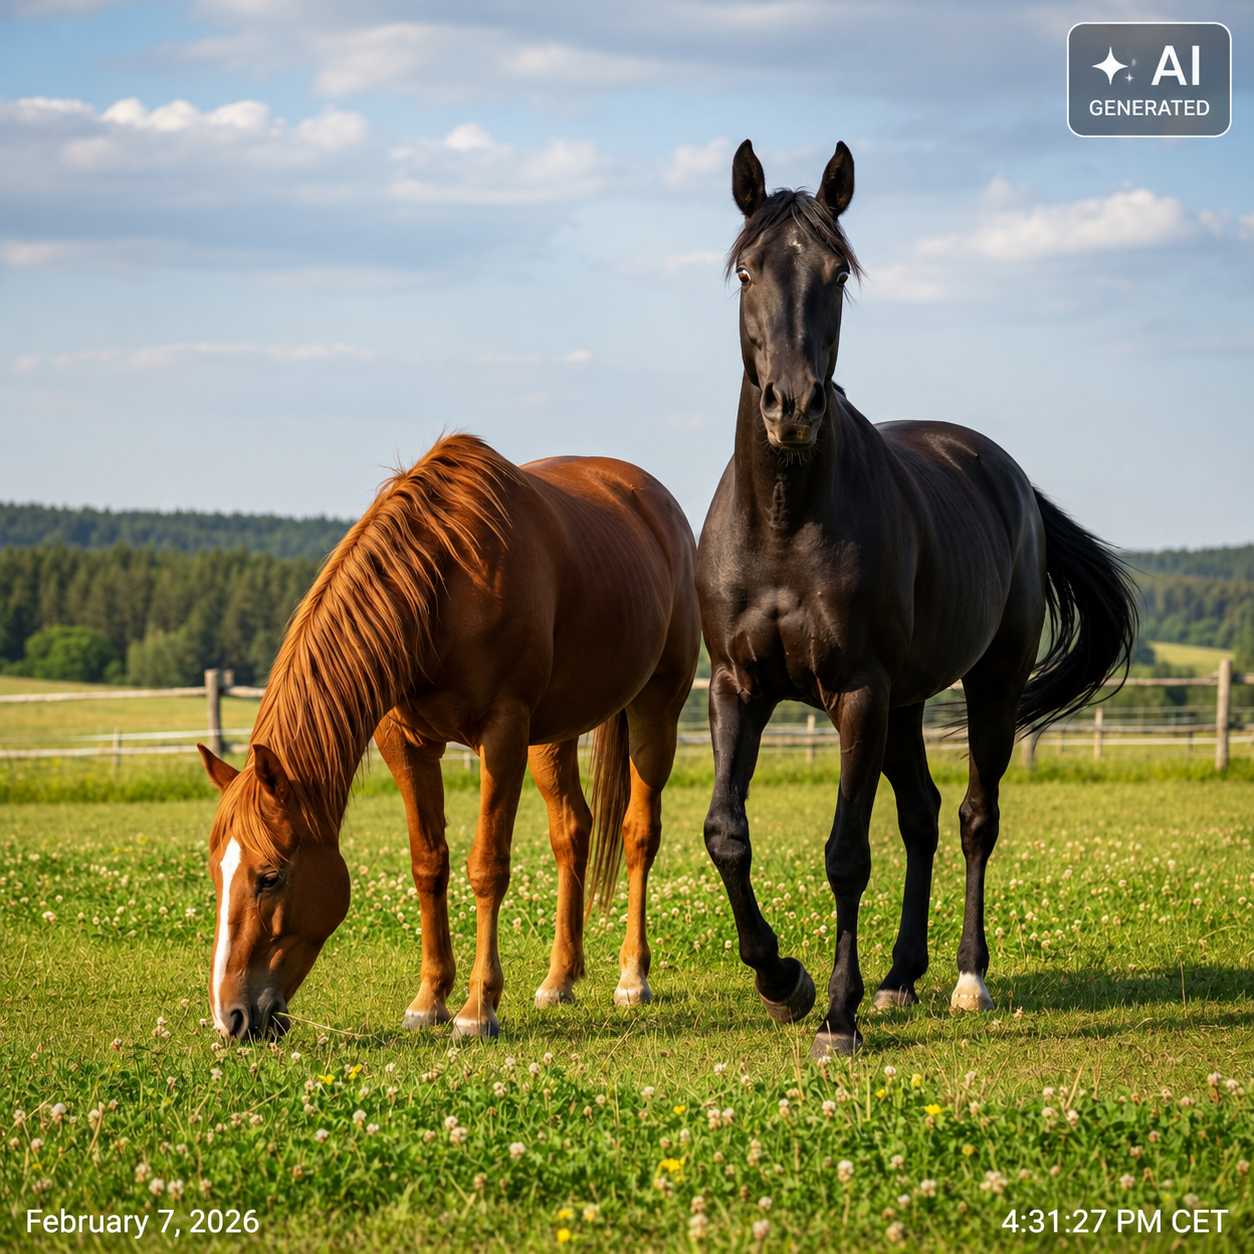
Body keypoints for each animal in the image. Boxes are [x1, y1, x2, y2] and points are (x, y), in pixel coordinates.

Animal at [197, 434, 699, 1040]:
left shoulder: (503, 735)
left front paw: (478, 1009)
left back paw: (632, 977)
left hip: (657, 707)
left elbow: (488, 867)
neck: (446, 584)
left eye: (269, 877)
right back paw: (559, 979)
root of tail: (657, 504)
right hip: (552, 735)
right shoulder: (407, 744)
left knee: (638, 833)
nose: (230, 1017)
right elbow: (428, 863)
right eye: (216, 872)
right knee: (571, 832)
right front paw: (429, 999)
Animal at [696, 139, 1138, 1060]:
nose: (792, 407)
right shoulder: (736, 687)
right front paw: (782, 982)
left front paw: (836, 1017)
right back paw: (900, 978)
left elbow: (845, 854)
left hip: (987, 686)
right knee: (924, 816)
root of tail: (1011, 479)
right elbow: (727, 834)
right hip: (902, 707)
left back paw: (967, 979)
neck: (785, 524)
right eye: (747, 271)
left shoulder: (856, 695)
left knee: (972, 817)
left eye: (836, 272)